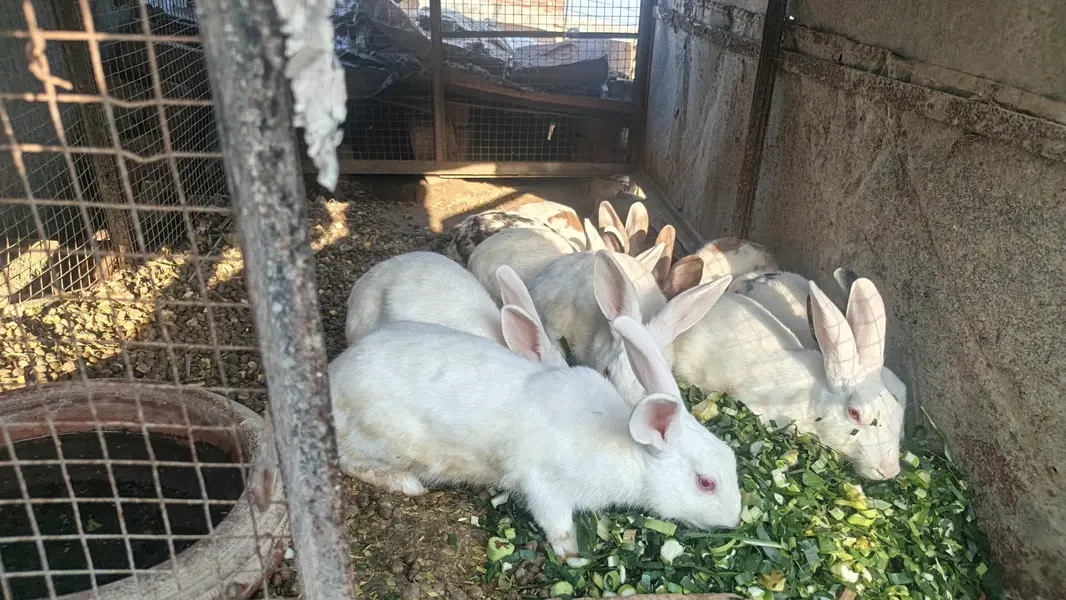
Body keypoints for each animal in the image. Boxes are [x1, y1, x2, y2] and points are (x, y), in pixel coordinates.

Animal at [329, 313, 742, 561]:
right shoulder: (545, 487)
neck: (627, 447)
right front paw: (573, 557)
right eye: (706, 483)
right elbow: (556, 523)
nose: (734, 519)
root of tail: (334, 381)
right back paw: (408, 484)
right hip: (381, 441)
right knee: (350, 463)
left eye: (731, 459)